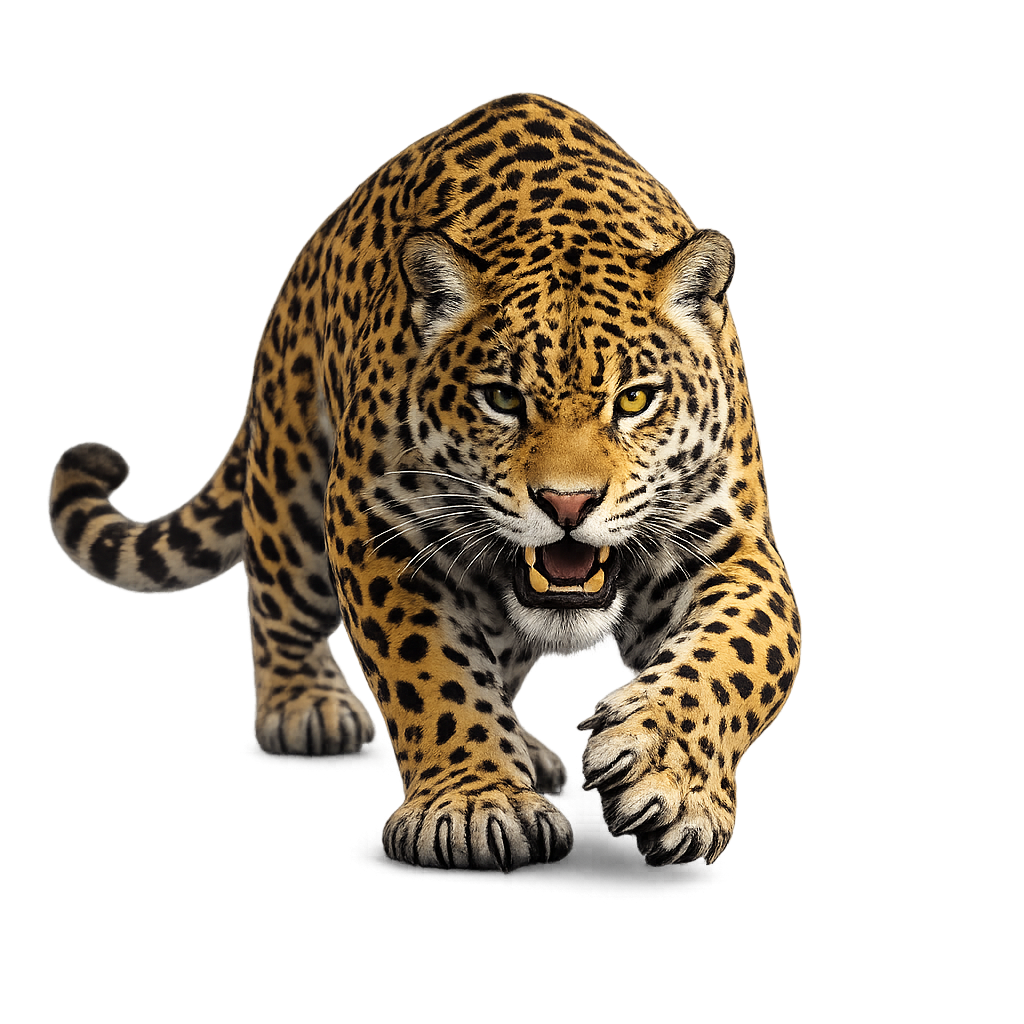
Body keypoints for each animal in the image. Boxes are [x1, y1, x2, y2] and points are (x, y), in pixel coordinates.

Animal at [50, 94, 800, 871]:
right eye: (501, 398)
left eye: (635, 400)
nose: (567, 503)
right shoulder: (377, 526)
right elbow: (431, 671)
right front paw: (476, 803)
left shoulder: (728, 543)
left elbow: (738, 654)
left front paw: (666, 777)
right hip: (292, 483)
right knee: (280, 603)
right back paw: (305, 707)